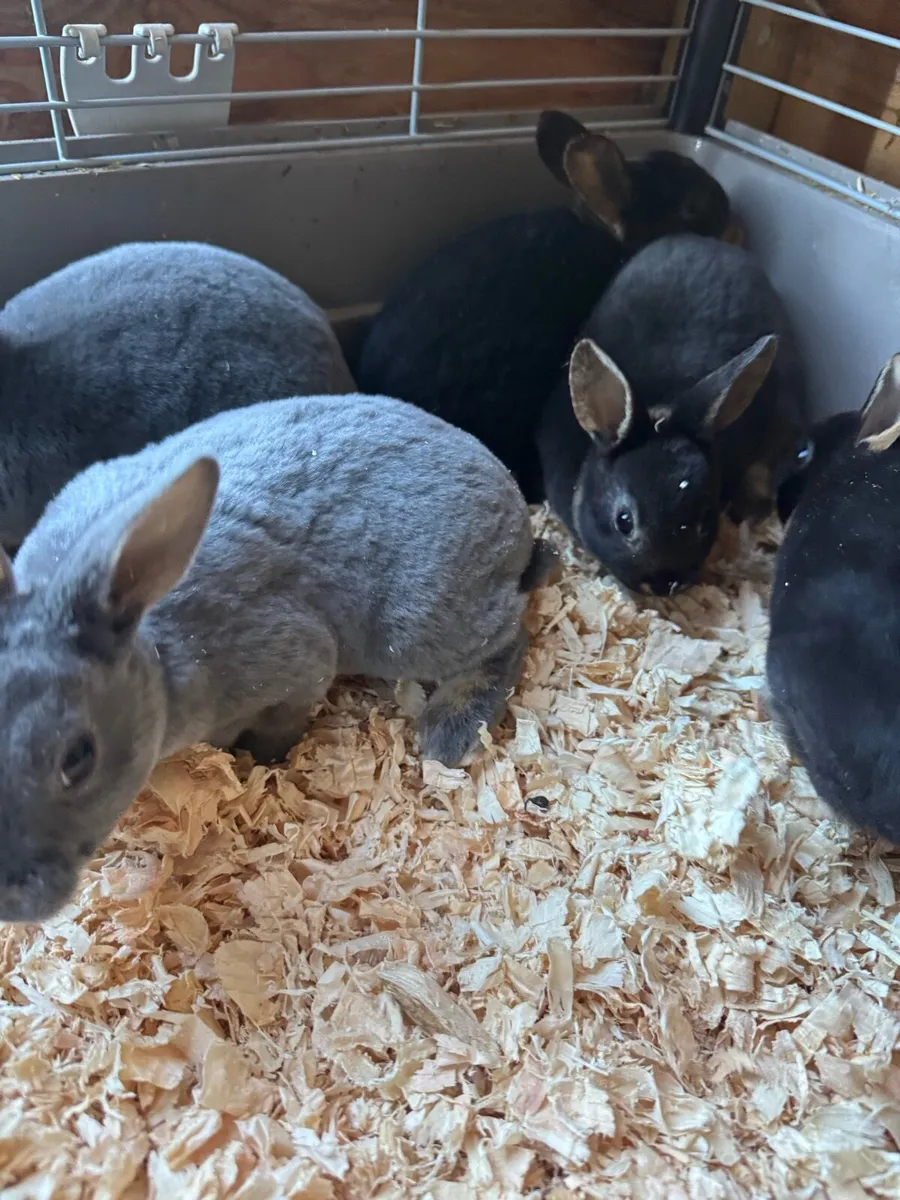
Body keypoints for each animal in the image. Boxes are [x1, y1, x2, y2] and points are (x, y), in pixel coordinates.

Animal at [0, 392, 556, 922]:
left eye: (78, 757)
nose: (13, 903)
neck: (157, 658)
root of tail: (514, 509)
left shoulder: (296, 664)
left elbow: (281, 720)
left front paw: (258, 759)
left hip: (417, 623)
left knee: (509, 637)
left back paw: (449, 731)